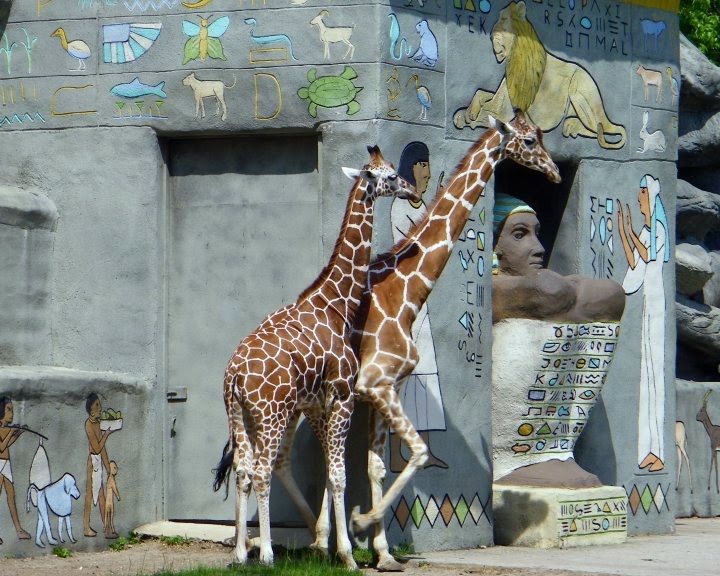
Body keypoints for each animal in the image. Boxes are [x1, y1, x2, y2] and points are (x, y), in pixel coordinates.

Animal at [212, 145, 419, 569]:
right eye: (391, 176)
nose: (412, 189)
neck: (336, 302)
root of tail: (235, 376)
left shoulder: (317, 402)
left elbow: (329, 472)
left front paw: (333, 545)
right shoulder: (340, 396)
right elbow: (339, 475)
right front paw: (348, 554)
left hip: (238, 416)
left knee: (242, 469)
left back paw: (241, 553)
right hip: (271, 415)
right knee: (262, 470)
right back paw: (267, 554)